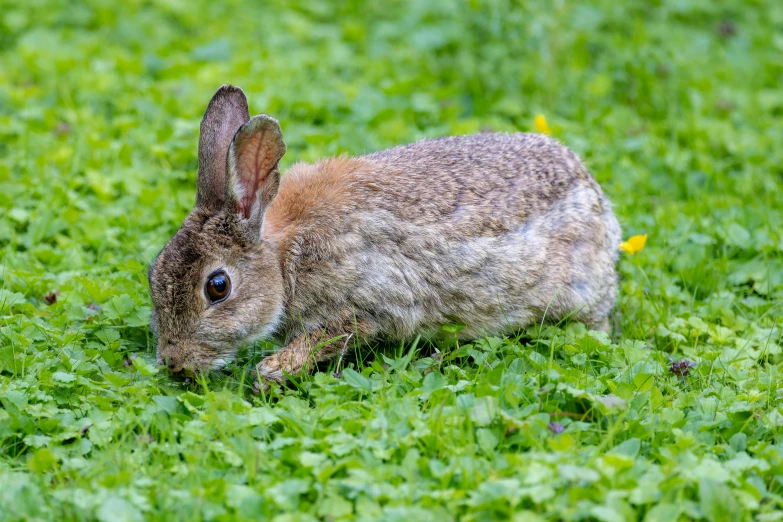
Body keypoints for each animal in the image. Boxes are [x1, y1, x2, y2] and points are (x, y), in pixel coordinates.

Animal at [147, 85, 620, 382]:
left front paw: (274, 370)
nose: (174, 362)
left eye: (218, 287)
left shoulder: (367, 299)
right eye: (153, 273)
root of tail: (594, 192)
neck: (282, 256)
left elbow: (333, 334)